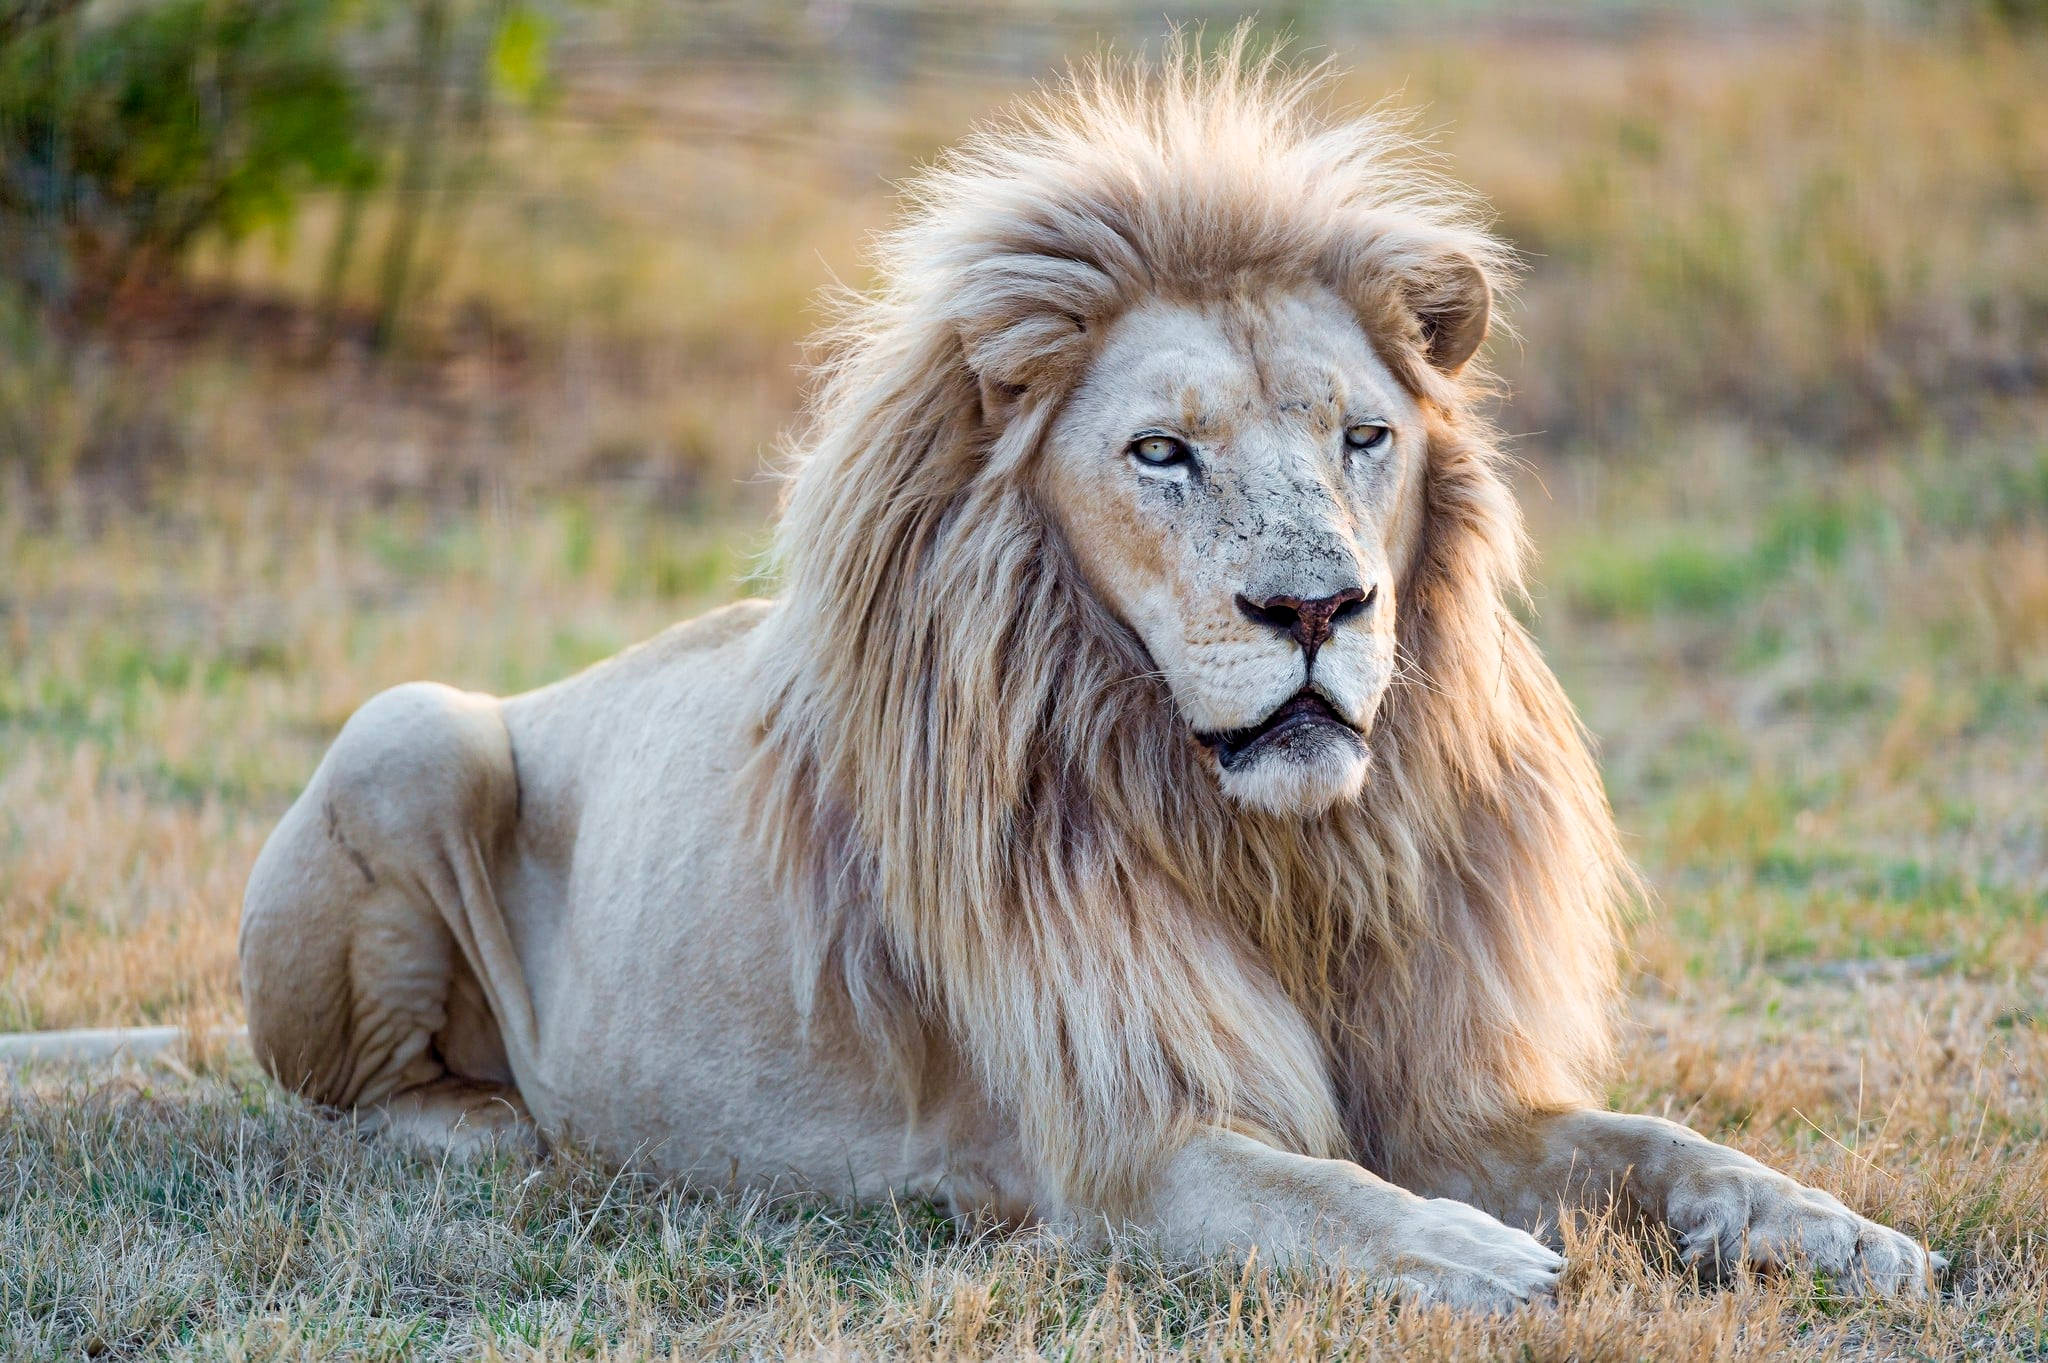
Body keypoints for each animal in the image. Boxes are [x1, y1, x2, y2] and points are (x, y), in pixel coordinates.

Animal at [238, 42, 1939, 1309]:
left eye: (1363, 436)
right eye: (1162, 451)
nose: (1317, 604)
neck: (1272, 853)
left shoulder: (1444, 1085)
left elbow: (1659, 1140)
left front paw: (1838, 1232)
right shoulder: (1109, 1145)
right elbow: (1315, 1192)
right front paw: (1489, 1259)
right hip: (407, 728)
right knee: (343, 1112)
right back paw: (525, 1132)